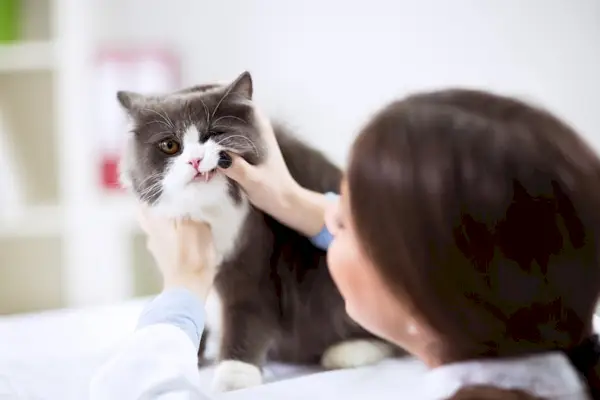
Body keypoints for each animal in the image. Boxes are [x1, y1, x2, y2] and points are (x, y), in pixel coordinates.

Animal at [116, 71, 398, 390]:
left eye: (214, 134)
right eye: (169, 146)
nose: (195, 160)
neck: (208, 213)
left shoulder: (252, 258)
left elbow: (245, 312)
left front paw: (235, 374)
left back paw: (349, 351)